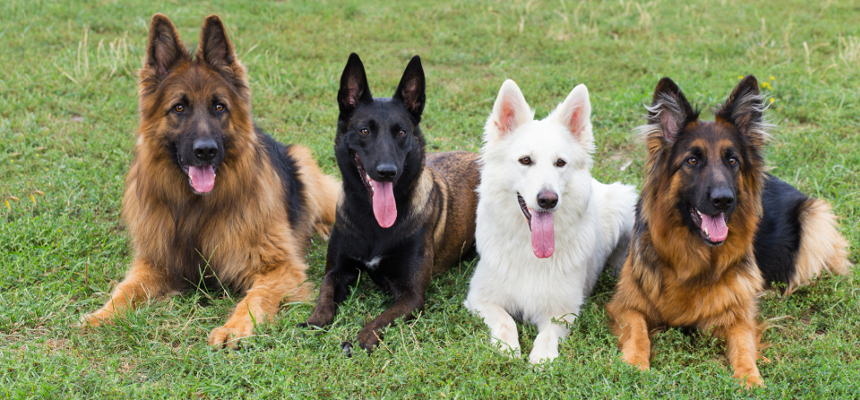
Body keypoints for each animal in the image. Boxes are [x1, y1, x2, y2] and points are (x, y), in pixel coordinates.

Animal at [464, 79, 640, 364]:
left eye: (560, 163)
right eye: (525, 160)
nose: (548, 200)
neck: (530, 252)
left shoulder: (564, 310)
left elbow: (547, 334)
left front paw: (542, 358)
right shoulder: (479, 297)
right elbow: (505, 321)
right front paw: (507, 348)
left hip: (623, 204)